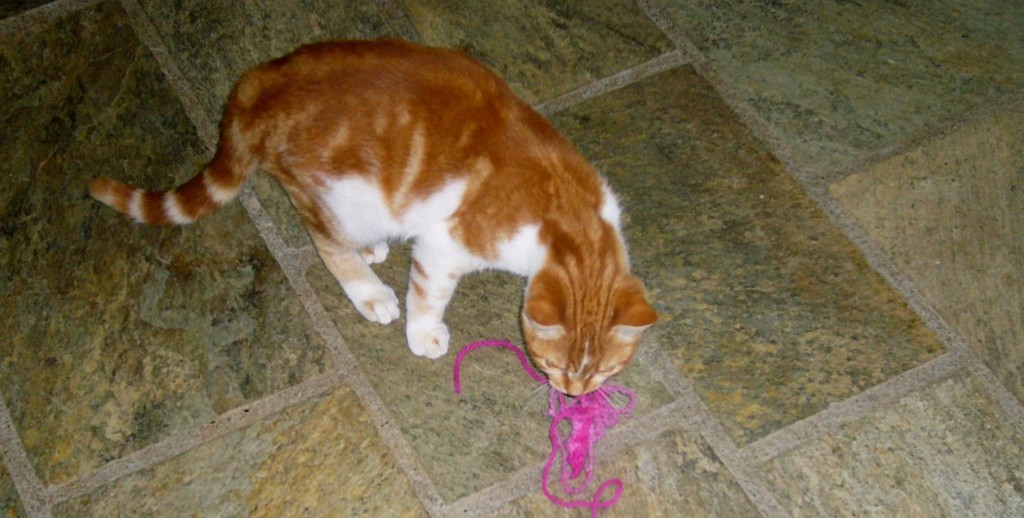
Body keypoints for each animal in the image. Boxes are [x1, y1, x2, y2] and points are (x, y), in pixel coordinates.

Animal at [89, 39, 657, 396]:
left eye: (606, 371)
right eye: (553, 364)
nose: (574, 393)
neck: (571, 221)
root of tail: (255, 85)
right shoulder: (444, 244)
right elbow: (428, 294)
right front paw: (423, 332)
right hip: (342, 199)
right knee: (326, 243)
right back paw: (369, 290)